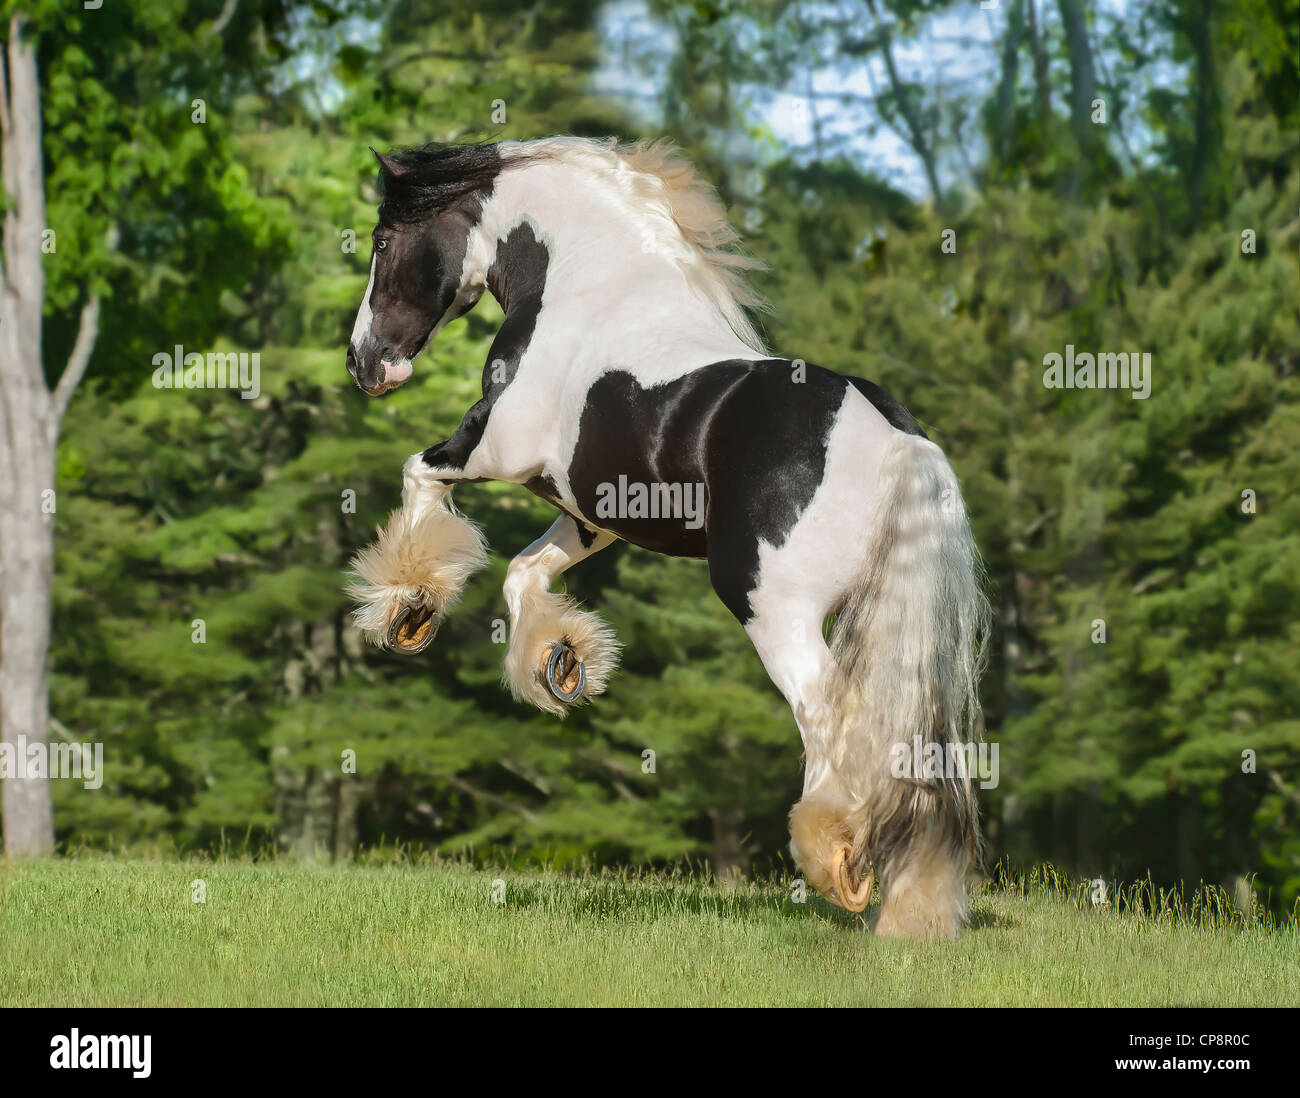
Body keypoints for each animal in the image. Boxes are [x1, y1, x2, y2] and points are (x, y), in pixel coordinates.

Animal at [340, 137, 987, 940]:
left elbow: (419, 478)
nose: (364, 362)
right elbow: (525, 570)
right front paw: (560, 664)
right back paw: (907, 910)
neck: (590, 283)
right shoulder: (592, 509)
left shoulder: (494, 450)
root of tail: (898, 442)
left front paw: (410, 608)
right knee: (918, 752)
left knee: (829, 715)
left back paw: (833, 864)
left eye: (380, 241)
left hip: (774, 610)